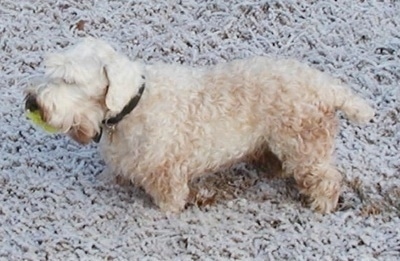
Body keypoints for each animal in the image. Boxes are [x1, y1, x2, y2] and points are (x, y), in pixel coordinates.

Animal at [25, 38, 376, 213]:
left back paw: (322, 205)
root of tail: (328, 87)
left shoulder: (165, 172)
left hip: (304, 147)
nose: (32, 101)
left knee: (327, 178)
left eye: (71, 80)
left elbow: (170, 200)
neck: (132, 105)